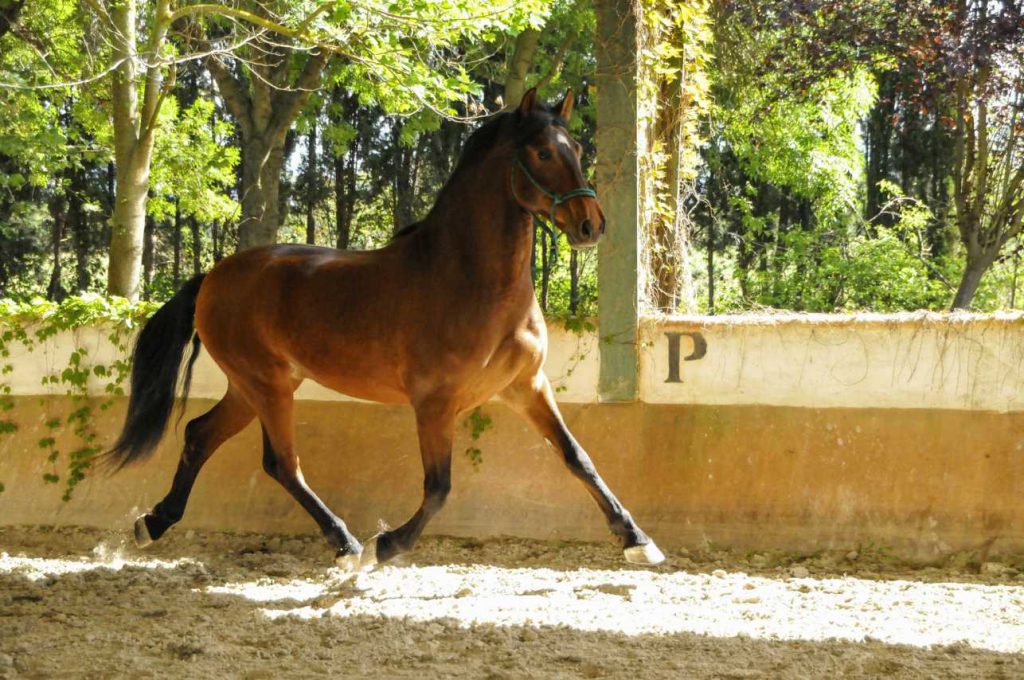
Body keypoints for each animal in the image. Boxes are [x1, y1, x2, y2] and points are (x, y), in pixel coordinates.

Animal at [108, 87, 665, 569]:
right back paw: (347, 543)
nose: (592, 224)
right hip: (266, 386)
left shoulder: (526, 386)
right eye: (544, 152)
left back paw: (153, 523)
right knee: (281, 463)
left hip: (254, 387)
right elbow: (439, 488)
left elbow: (577, 457)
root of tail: (213, 276)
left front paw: (638, 540)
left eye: (578, 148)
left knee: (201, 436)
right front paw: (388, 543)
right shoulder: (434, 403)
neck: (472, 280)